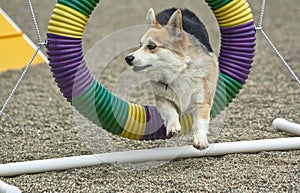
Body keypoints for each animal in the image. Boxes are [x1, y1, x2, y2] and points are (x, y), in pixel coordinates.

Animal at [124, 7, 218, 149]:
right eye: (140, 45)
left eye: (151, 46)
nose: (128, 58)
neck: (178, 73)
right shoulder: (162, 99)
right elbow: (171, 111)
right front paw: (173, 127)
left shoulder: (202, 101)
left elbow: (200, 123)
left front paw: (200, 140)